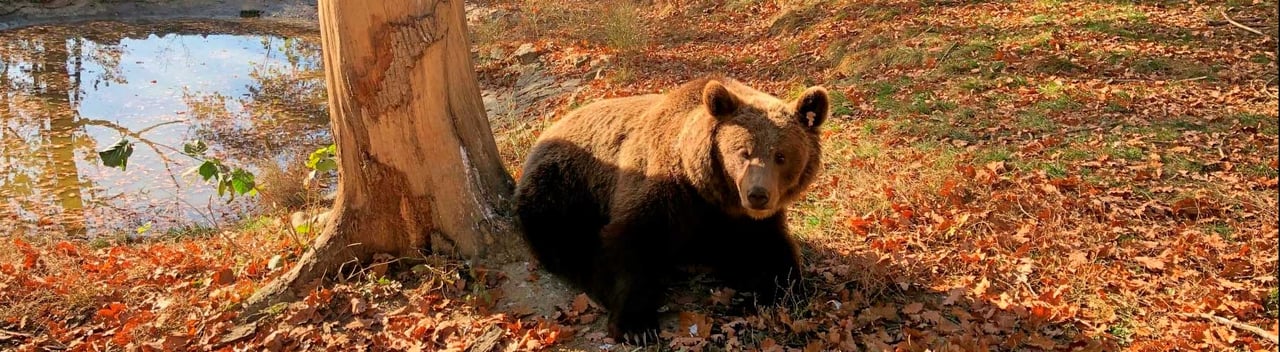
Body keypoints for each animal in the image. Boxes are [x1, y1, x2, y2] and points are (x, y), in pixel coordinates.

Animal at [512, 75, 829, 345]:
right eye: (743, 152)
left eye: (781, 156)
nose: (758, 195)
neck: (710, 193)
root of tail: (546, 132)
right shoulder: (665, 190)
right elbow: (629, 242)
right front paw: (637, 325)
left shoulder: (743, 221)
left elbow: (772, 252)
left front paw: (780, 295)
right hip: (563, 184)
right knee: (564, 239)